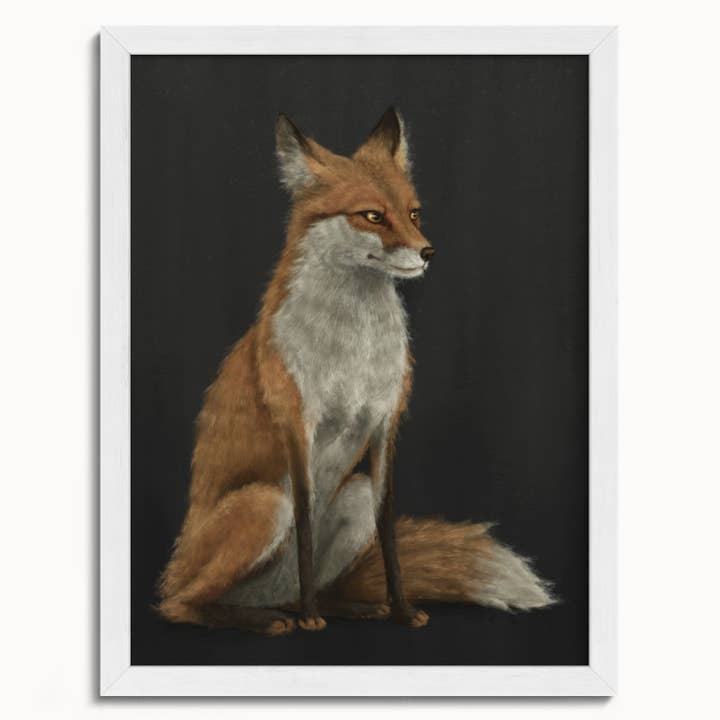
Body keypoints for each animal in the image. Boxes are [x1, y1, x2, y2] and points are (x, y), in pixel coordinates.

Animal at [156, 107, 554, 635]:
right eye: (372, 215)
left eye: (413, 213)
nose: (428, 252)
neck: (354, 348)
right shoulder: (298, 426)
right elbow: (305, 526)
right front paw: (311, 619)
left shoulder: (385, 424)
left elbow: (389, 534)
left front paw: (401, 610)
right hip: (264, 503)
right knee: (180, 604)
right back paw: (271, 617)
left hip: (354, 495)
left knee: (306, 586)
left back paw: (343, 607)